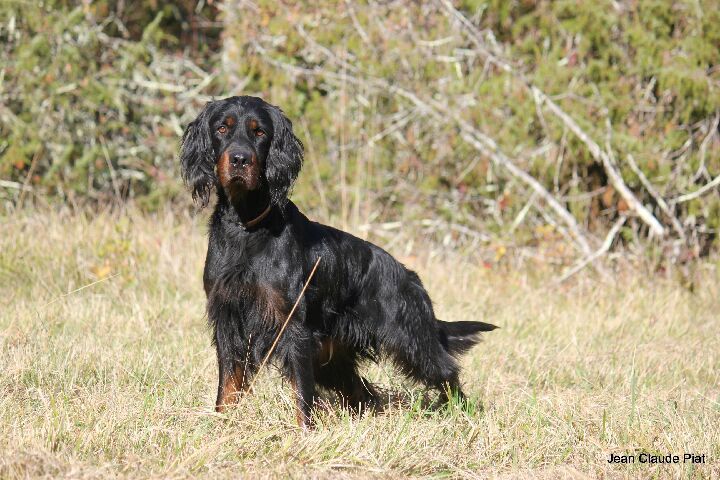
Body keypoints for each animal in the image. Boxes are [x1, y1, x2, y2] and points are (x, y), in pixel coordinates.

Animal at [181, 94, 496, 428]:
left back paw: (463, 413)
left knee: (446, 371)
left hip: (410, 339)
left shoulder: (293, 326)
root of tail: (411, 279)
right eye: (222, 128)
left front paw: (303, 431)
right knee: (364, 393)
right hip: (332, 358)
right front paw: (221, 423)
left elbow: (301, 393)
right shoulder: (228, 320)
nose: (240, 159)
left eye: (260, 132)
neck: (246, 227)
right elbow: (228, 386)